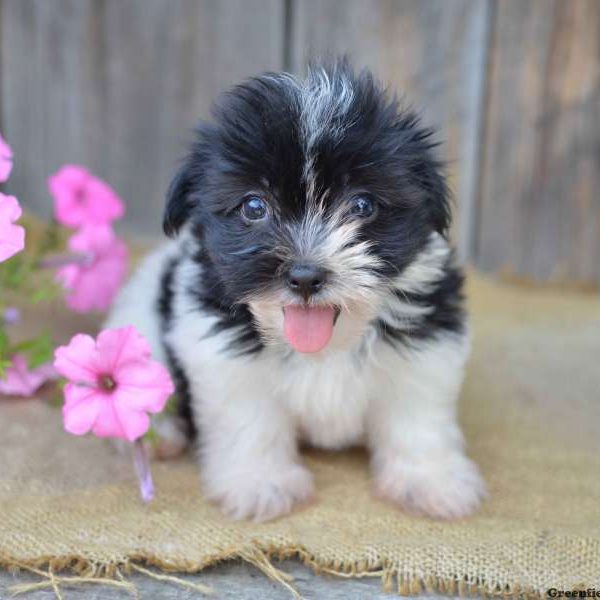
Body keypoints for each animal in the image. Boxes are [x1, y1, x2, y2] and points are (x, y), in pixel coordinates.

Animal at [105, 59, 486, 520]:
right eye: (254, 206)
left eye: (362, 205)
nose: (305, 276)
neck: (328, 346)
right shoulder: (222, 357)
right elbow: (251, 420)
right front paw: (261, 483)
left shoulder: (425, 349)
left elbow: (417, 417)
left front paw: (429, 480)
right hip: (138, 318)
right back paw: (160, 432)